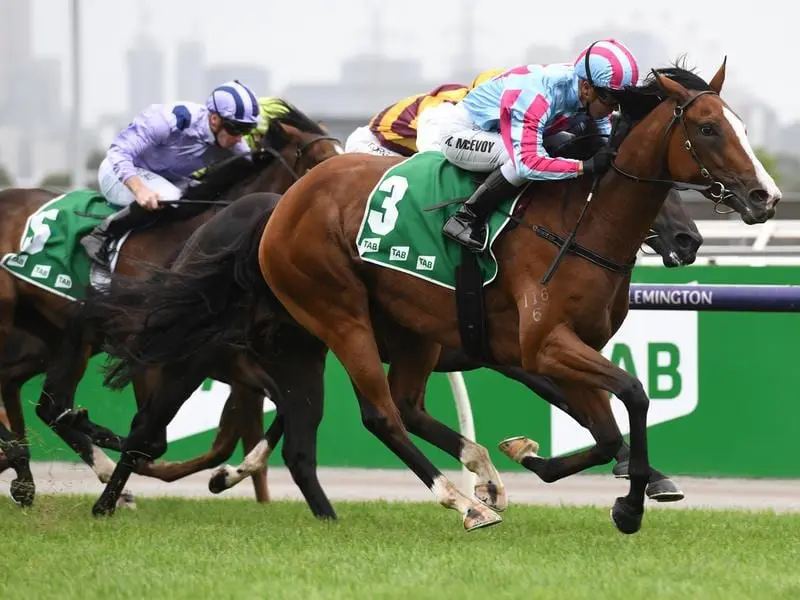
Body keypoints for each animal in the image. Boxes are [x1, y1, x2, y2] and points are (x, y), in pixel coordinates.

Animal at [0, 103, 340, 506]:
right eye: (322, 159)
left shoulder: (236, 360)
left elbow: (268, 419)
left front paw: (228, 475)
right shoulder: (152, 354)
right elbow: (154, 439)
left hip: (48, 339)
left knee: (39, 398)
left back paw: (29, 475)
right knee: (44, 401)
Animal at [253, 61, 780, 532]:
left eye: (742, 125)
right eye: (708, 128)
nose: (765, 197)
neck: (582, 221)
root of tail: (290, 200)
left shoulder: (565, 347)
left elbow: (607, 434)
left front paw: (535, 459)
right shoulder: (543, 344)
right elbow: (633, 393)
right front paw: (631, 507)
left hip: (413, 330)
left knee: (407, 405)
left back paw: (483, 474)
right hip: (340, 315)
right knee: (382, 415)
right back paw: (465, 504)